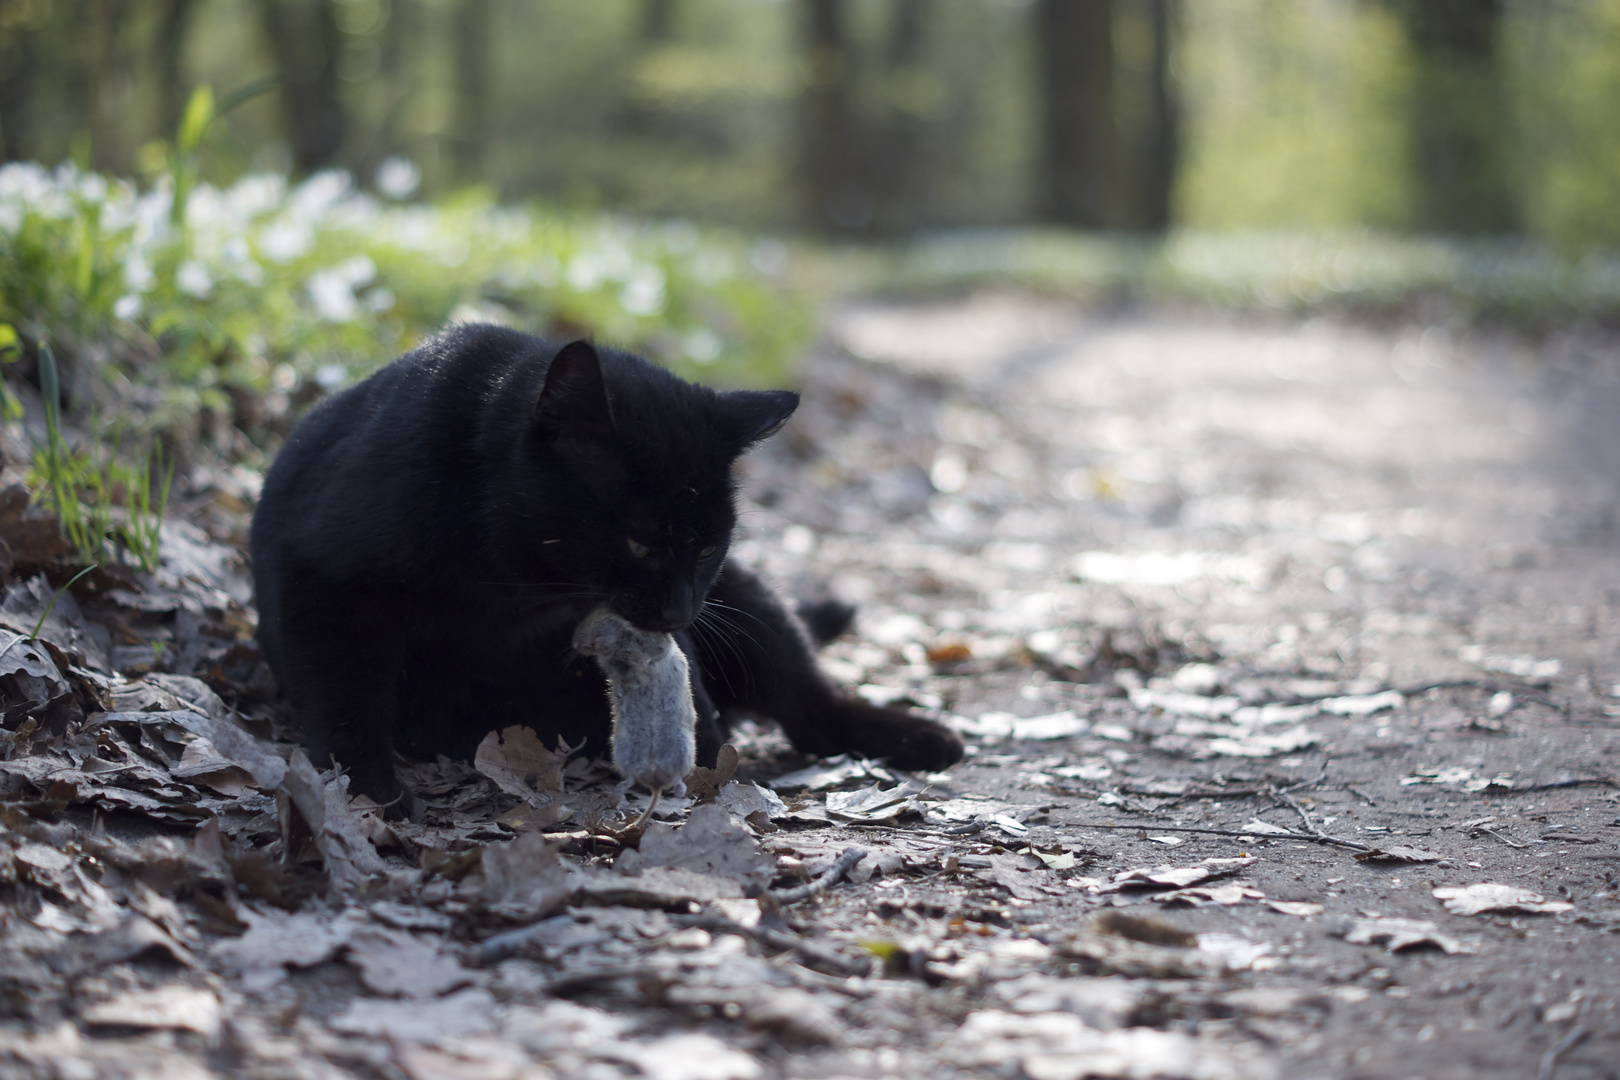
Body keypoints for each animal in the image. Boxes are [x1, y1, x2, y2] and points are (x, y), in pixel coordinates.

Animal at [251, 325, 959, 816]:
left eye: (708, 545)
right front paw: (370, 795)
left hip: (749, 606)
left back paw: (921, 739)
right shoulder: (325, 584)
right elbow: (346, 699)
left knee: (811, 709)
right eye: (640, 543)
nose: (679, 611)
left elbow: (699, 702)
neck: (507, 576)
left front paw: (707, 769)